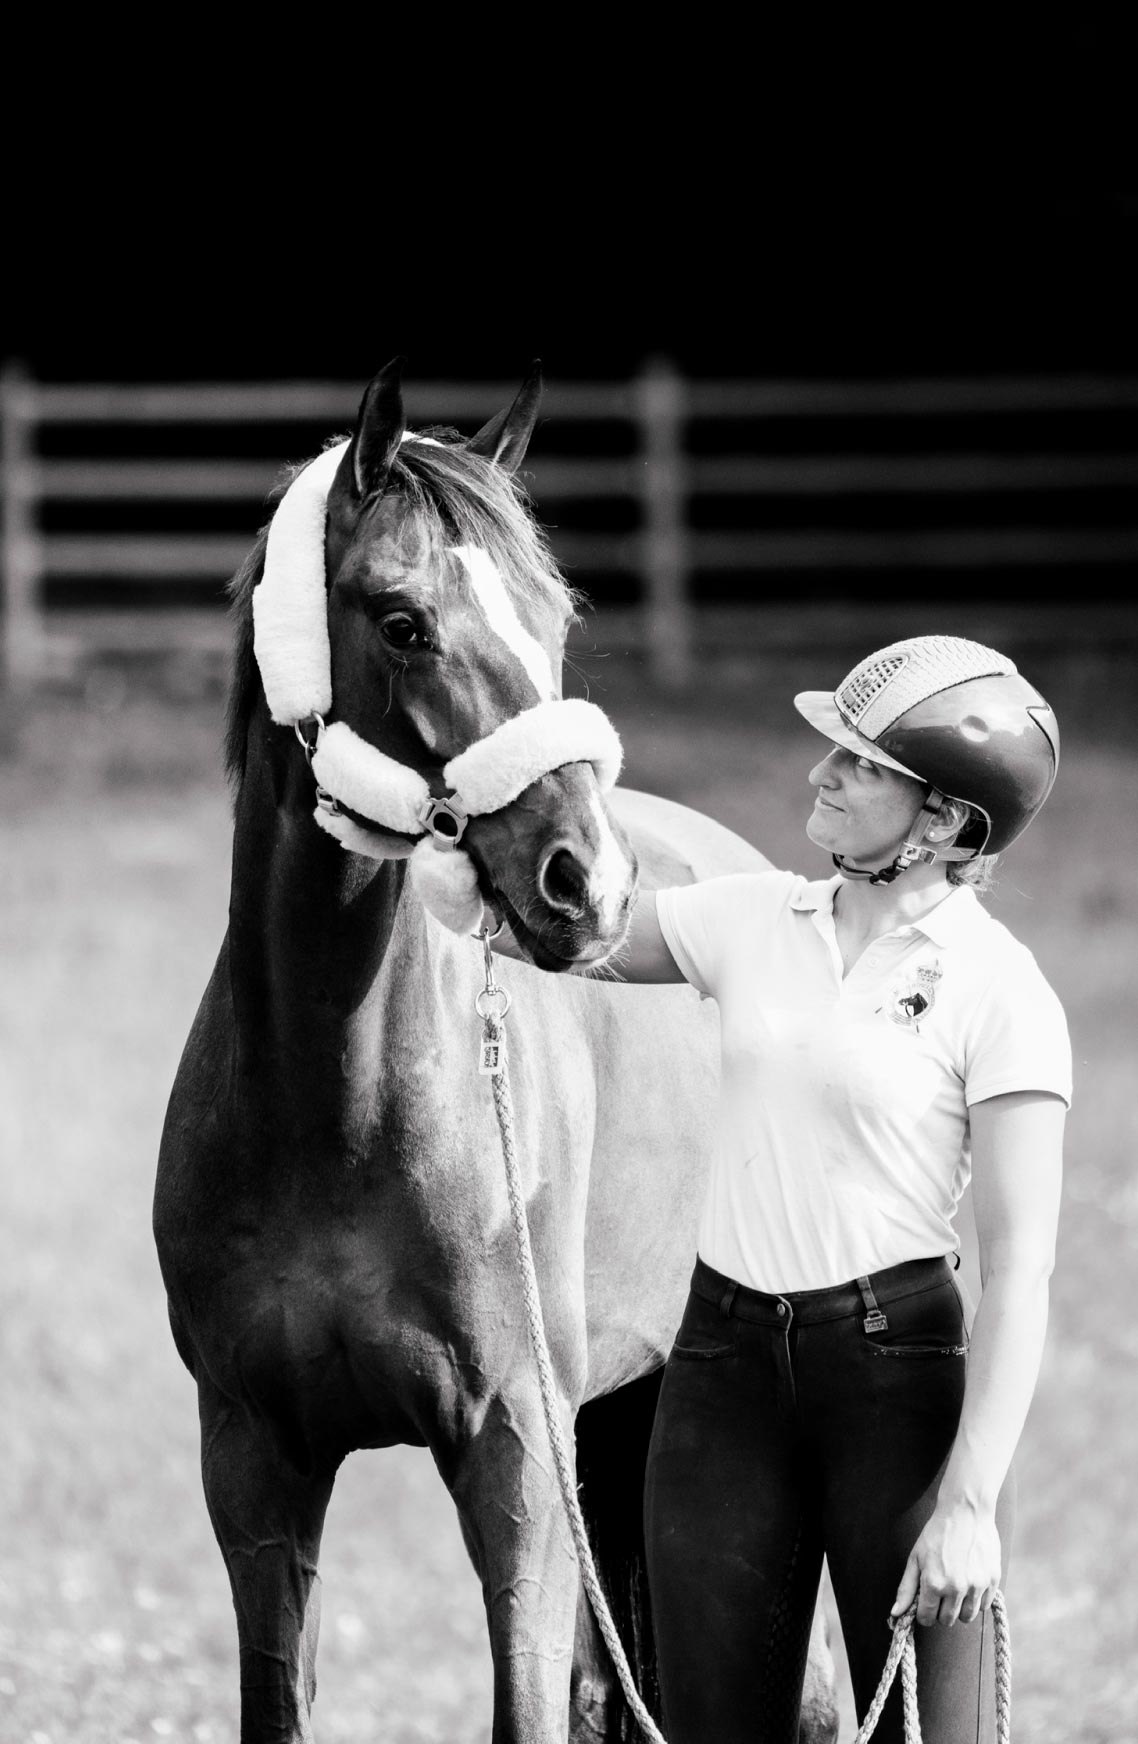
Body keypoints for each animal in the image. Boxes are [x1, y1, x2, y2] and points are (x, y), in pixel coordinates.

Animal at [154, 359, 838, 1743]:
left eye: (552, 615)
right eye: (402, 619)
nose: (589, 883)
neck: (337, 1103)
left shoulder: (513, 1452)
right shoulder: (252, 1460)